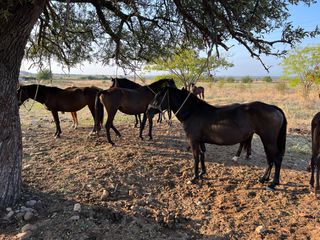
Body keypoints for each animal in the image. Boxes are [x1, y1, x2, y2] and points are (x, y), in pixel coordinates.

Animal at [148, 87, 288, 190]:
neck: (192, 111)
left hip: (268, 140)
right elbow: (202, 155)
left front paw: (194, 178)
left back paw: (273, 183)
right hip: (267, 140)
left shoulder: (194, 141)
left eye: (158, 97)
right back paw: (263, 179)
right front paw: (202, 174)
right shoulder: (200, 141)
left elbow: (196, 157)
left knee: (276, 158)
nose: (149, 110)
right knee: (270, 159)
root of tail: (273, 107)